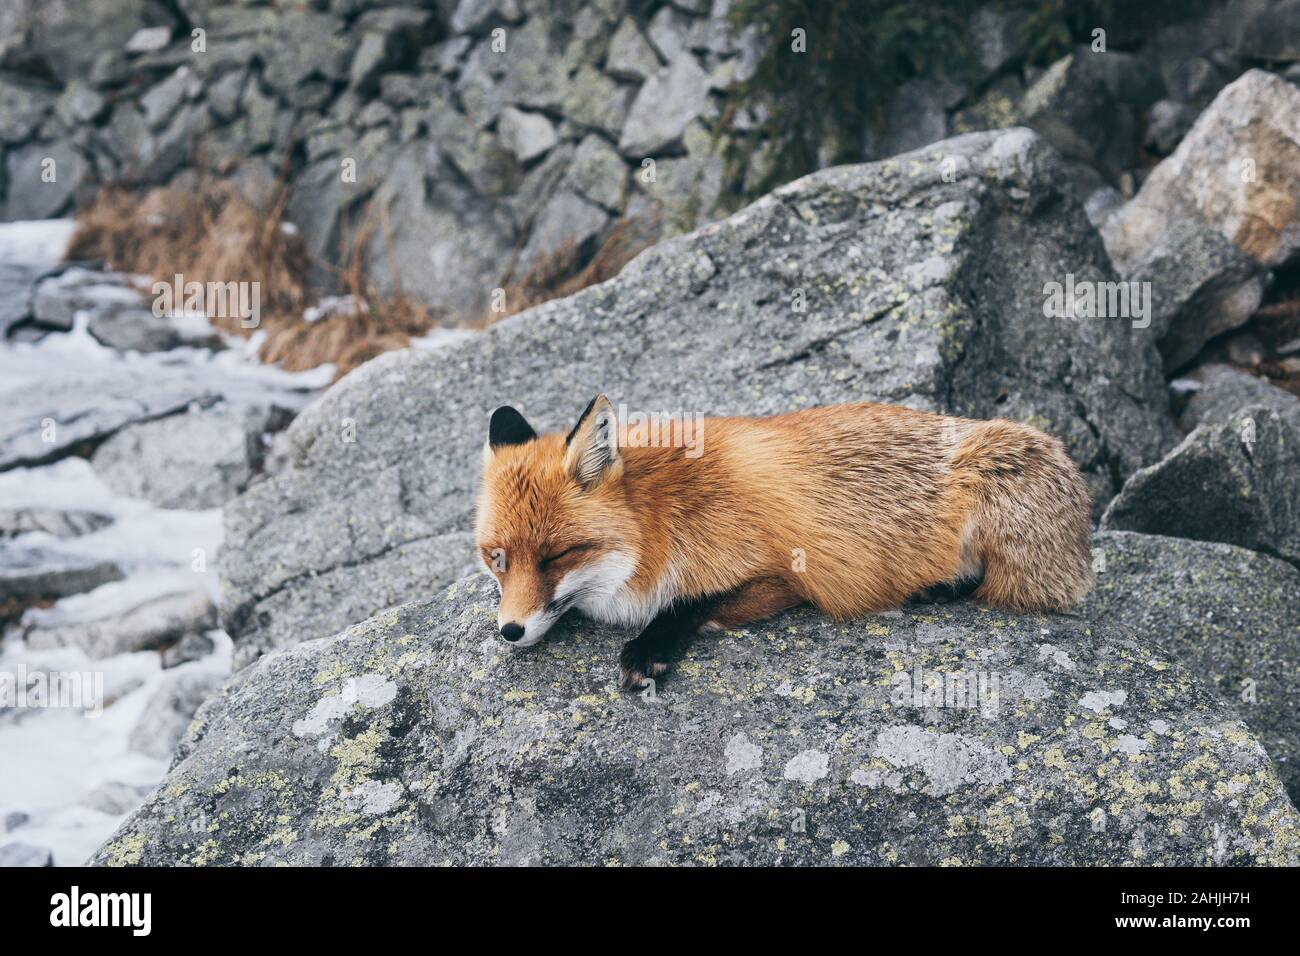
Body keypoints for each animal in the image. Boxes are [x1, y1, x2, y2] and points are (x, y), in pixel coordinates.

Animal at [475, 395, 1094, 691]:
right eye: (496, 559)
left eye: (557, 555)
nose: (510, 631)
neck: (659, 522)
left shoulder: (787, 574)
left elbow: (691, 604)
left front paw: (649, 648)